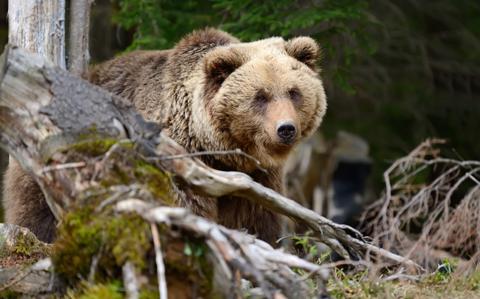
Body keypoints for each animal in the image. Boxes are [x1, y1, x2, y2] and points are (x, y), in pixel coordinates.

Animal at [1, 28, 326, 245]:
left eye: (293, 92)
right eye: (261, 96)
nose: (286, 128)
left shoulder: (257, 177)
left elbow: (256, 217)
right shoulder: (176, 159)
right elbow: (183, 206)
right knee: (36, 211)